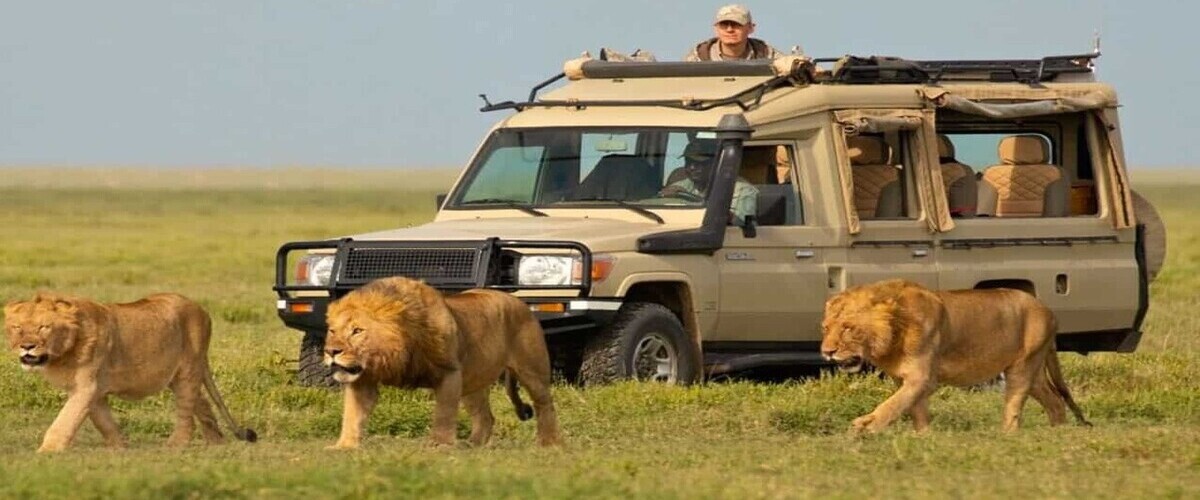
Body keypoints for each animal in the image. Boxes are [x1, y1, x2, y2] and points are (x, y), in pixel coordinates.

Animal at [3, 292, 256, 452]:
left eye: (43, 327)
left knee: (187, 411)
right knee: (201, 403)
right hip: (178, 375)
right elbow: (104, 422)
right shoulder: (93, 391)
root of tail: (201, 309)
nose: (27, 346)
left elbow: (65, 420)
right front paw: (121, 448)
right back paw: (216, 442)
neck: (64, 352)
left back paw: (175, 445)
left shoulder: (87, 386)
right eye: (17, 327)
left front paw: (47, 451)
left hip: (188, 369)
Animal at [323, 276, 561, 449]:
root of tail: (520, 302)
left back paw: (548, 444)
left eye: (357, 331)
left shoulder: (450, 373)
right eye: (333, 331)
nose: (331, 351)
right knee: (486, 417)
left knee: (545, 405)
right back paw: (471, 446)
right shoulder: (363, 380)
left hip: (532, 370)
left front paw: (440, 445)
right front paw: (344, 446)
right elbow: (352, 415)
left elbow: (444, 413)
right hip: (473, 381)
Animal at [820, 279, 1090, 434]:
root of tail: (1048, 310)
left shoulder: (923, 378)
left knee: (1015, 405)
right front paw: (924, 437)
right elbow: (914, 408)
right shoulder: (905, 379)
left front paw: (866, 427)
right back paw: (1057, 434)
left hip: (1023, 367)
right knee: (1055, 401)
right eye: (826, 328)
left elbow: (893, 405)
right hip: (1033, 372)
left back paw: (1007, 435)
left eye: (848, 328)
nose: (827, 352)